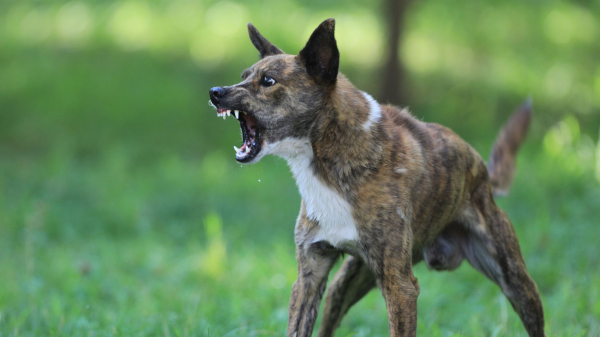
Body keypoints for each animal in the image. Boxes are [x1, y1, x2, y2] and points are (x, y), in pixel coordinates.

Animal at [207, 19, 544, 336]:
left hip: (517, 282)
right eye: (243, 75)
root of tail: (483, 172)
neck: (330, 154)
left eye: (268, 81)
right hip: (346, 283)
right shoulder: (310, 275)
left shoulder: (400, 286)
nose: (215, 92)